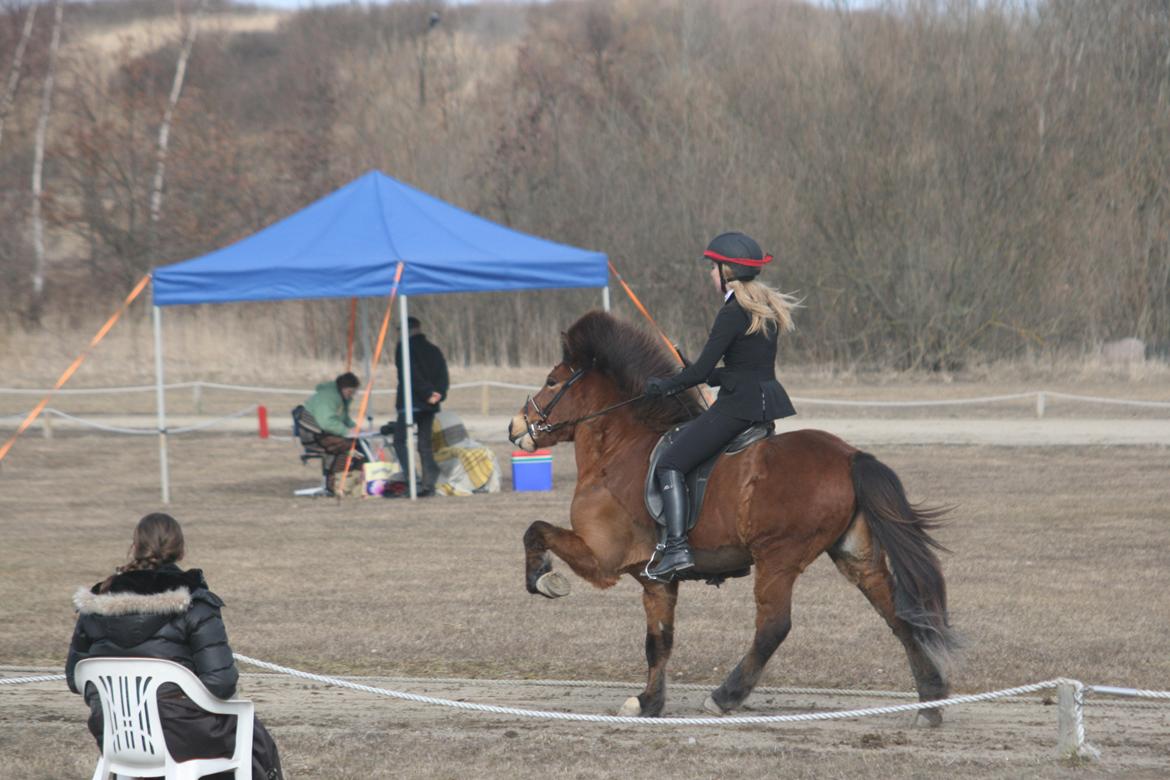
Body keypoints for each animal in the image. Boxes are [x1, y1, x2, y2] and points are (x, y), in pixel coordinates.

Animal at [507, 308, 954, 720]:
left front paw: (546, 580)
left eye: (551, 381)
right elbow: (659, 642)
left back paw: (725, 696)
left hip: (778, 558)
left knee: (773, 626)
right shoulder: (655, 580)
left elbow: (535, 530)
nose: (514, 427)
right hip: (855, 557)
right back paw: (930, 701)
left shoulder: (602, 558)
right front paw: (649, 702)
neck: (618, 449)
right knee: (899, 617)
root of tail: (850, 456)